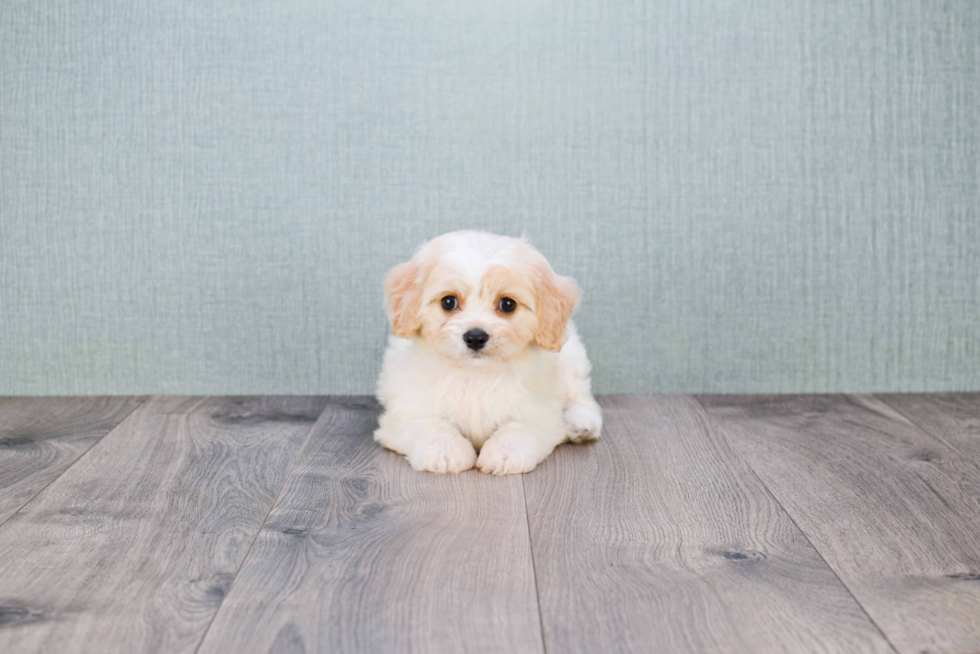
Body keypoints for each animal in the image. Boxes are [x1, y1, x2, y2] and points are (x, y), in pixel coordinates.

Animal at [376, 232, 604, 476]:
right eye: (448, 302)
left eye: (507, 304)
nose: (475, 337)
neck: (476, 374)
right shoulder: (407, 411)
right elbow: (431, 425)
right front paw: (445, 452)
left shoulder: (537, 412)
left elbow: (519, 428)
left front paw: (505, 453)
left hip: (572, 358)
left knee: (582, 397)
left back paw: (581, 422)